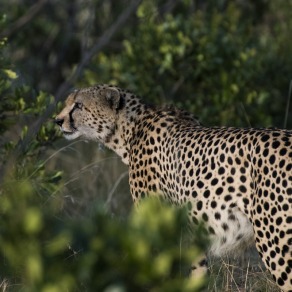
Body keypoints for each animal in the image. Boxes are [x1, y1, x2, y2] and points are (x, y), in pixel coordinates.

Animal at [55, 84, 292, 290]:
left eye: (78, 105)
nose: (57, 120)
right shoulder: (191, 231)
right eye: (68, 102)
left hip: (275, 242)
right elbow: (197, 272)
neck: (129, 129)